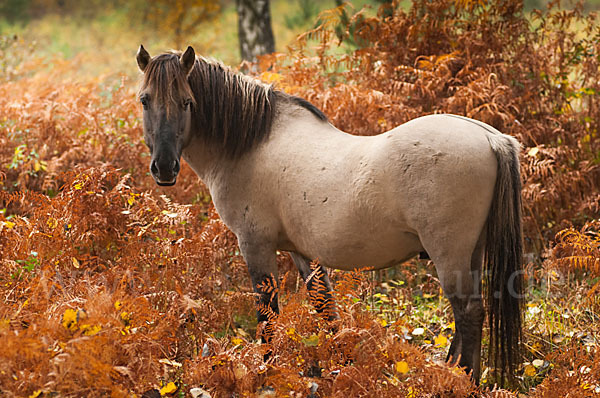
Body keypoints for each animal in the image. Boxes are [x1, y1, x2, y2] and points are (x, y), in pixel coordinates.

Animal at [135, 44, 520, 382]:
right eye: (145, 100)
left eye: (187, 102)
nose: (164, 168)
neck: (251, 145)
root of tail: (491, 138)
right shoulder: (304, 253)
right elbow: (326, 310)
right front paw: (341, 370)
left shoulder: (256, 246)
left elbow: (268, 316)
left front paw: (269, 374)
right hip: (471, 253)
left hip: (449, 254)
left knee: (468, 313)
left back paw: (462, 380)